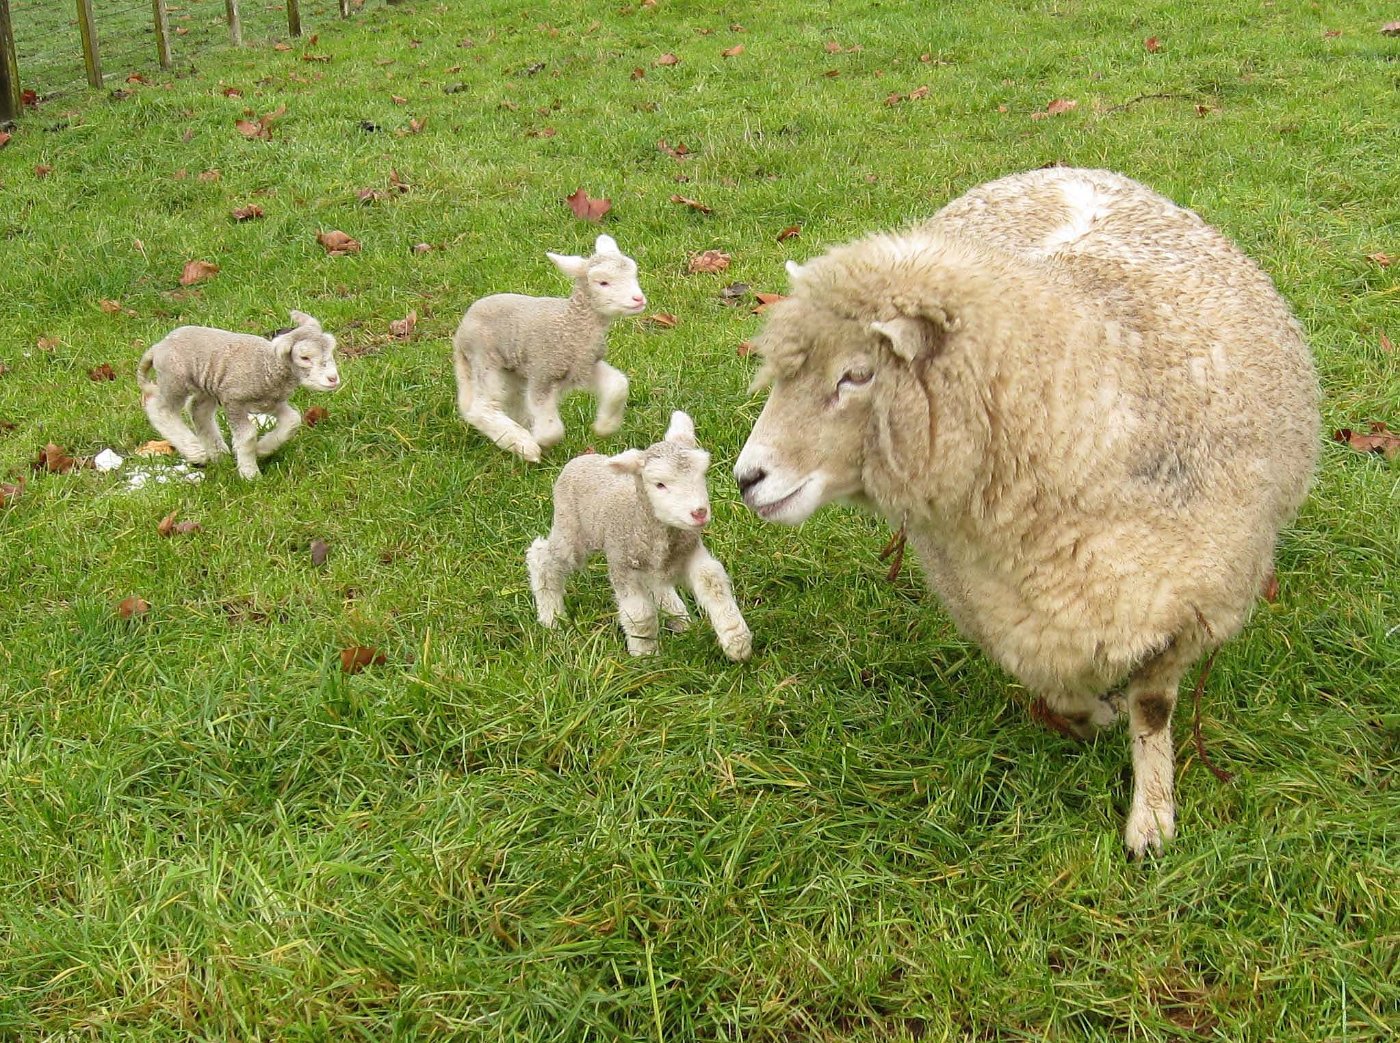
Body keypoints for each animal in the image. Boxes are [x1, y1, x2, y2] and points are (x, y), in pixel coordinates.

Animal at [137, 310, 340, 480]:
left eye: (331, 350)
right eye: (304, 358)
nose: (333, 379)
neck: (268, 365)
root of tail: (158, 346)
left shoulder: (271, 402)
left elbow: (293, 420)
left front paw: (262, 449)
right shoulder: (233, 401)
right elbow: (248, 435)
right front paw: (250, 474)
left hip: (206, 385)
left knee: (198, 410)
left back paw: (218, 453)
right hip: (175, 380)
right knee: (160, 409)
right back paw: (195, 451)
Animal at [453, 234, 646, 462]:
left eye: (633, 274)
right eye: (603, 282)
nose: (639, 299)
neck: (570, 326)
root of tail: (460, 333)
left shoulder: (584, 366)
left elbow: (618, 385)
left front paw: (605, 427)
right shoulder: (543, 373)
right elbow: (552, 430)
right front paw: (541, 442)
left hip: (512, 369)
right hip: (484, 358)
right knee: (481, 408)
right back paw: (522, 444)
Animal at [527, 411, 753, 662]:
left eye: (701, 475)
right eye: (659, 484)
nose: (699, 513)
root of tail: (581, 460)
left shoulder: (692, 552)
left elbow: (712, 583)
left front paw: (736, 642)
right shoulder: (622, 565)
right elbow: (640, 614)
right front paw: (645, 657)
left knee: (659, 585)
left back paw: (680, 618)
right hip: (570, 529)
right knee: (543, 558)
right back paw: (551, 618)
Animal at [733, 167, 1319, 856]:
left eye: (857, 375)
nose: (746, 479)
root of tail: (1066, 168)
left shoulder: (1187, 605)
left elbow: (1153, 710)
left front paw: (1151, 820)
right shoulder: (1007, 614)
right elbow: (1063, 693)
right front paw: (1098, 717)